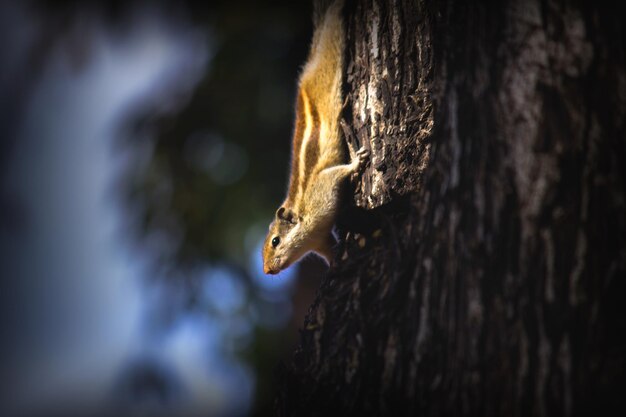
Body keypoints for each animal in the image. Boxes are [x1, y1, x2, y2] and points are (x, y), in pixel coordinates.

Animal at [260, 0, 368, 276]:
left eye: (275, 241)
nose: (266, 270)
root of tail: (309, 67)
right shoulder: (322, 241)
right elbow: (331, 251)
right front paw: (336, 264)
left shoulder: (321, 188)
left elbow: (337, 173)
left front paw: (356, 162)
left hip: (330, 68)